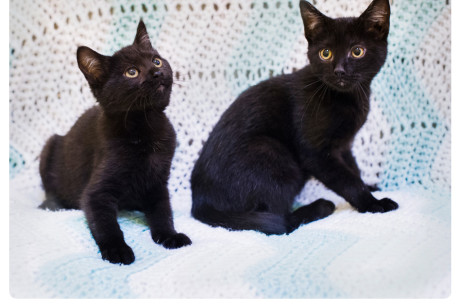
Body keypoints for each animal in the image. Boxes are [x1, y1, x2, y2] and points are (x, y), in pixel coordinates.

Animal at [38, 19, 191, 264]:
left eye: (156, 60)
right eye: (132, 72)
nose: (157, 72)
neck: (145, 128)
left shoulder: (158, 183)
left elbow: (163, 212)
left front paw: (169, 235)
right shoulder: (95, 195)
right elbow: (106, 224)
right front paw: (117, 249)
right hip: (49, 146)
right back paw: (52, 205)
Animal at [192, 0, 398, 235]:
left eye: (357, 51)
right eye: (325, 53)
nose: (339, 71)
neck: (347, 98)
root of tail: (200, 202)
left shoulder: (344, 144)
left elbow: (352, 168)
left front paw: (370, 187)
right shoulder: (316, 153)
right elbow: (348, 181)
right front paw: (372, 203)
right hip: (273, 154)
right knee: (279, 221)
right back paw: (320, 207)